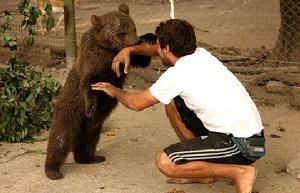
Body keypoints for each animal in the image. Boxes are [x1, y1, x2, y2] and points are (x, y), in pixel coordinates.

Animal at [45, 3, 157, 180]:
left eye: (133, 27)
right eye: (121, 32)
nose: (136, 40)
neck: (108, 49)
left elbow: (142, 59)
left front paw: (149, 37)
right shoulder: (94, 59)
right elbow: (89, 81)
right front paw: (91, 106)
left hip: (93, 125)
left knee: (88, 140)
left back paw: (90, 157)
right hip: (70, 111)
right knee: (60, 137)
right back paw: (53, 170)